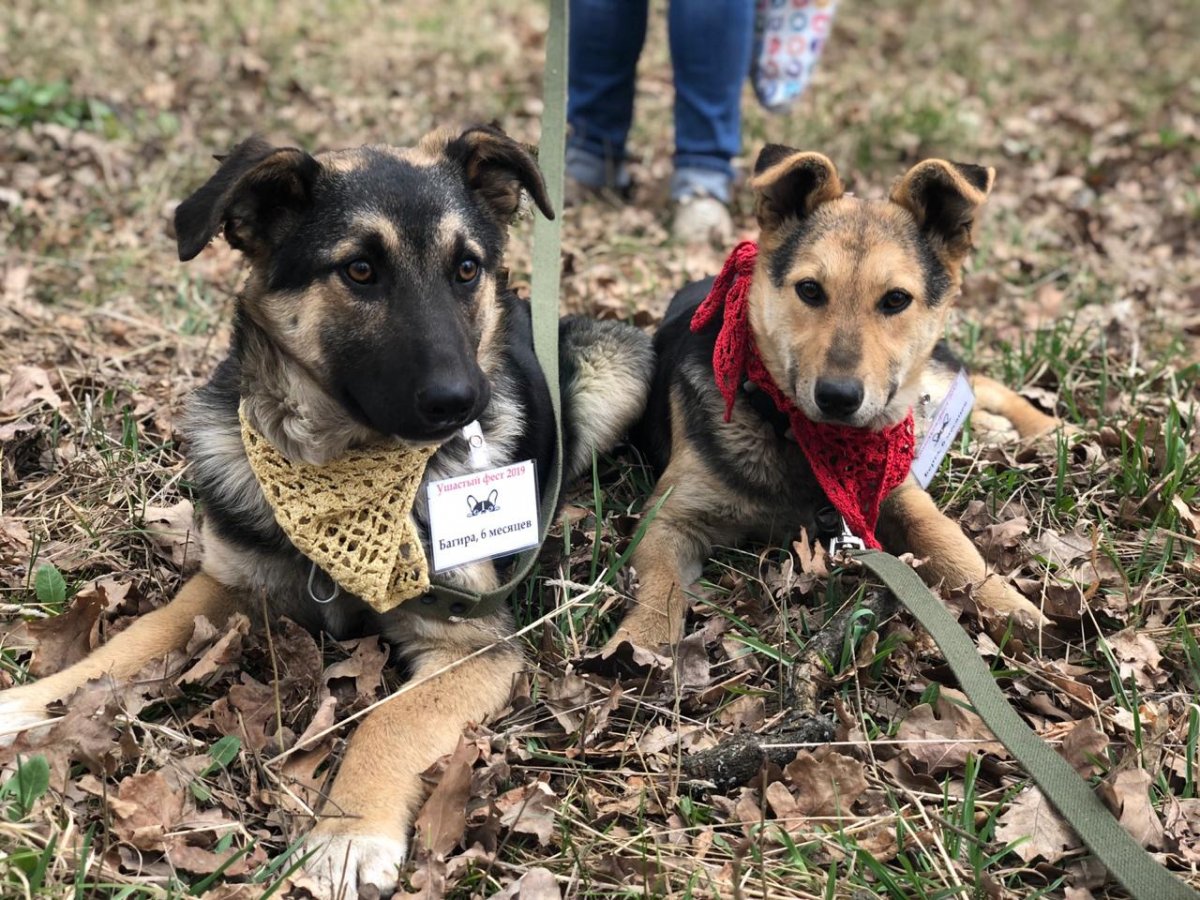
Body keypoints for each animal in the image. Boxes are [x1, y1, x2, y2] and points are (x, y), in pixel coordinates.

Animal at [2, 125, 657, 897]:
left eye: (466, 268)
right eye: (360, 270)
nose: (462, 403)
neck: (342, 471)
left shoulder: (471, 644)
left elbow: (390, 719)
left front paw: (349, 833)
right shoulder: (229, 583)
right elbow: (135, 638)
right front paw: (32, 699)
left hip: (617, 370)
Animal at [614, 146, 1065, 657]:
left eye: (896, 299)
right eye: (810, 289)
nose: (838, 398)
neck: (798, 434)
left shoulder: (899, 491)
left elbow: (947, 541)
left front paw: (1013, 610)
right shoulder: (669, 518)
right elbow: (660, 583)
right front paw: (638, 642)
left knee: (980, 383)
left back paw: (1048, 429)